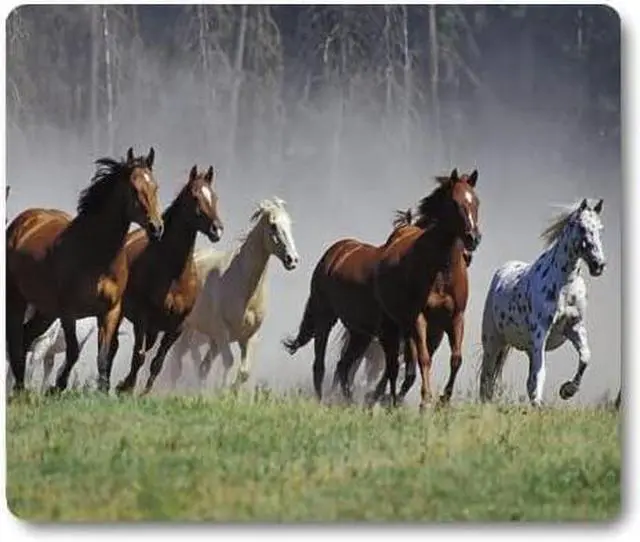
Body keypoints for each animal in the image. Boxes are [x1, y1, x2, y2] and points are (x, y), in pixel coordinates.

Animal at [6, 147, 164, 394]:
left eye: (155, 187)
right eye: (134, 189)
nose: (156, 228)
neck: (97, 256)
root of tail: (24, 221)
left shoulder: (110, 312)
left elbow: (103, 356)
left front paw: (101, 392)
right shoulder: (68, 312)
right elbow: (73, 352)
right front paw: (56, 388)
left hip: (46, 311)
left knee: (25, 338)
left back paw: (20, 389)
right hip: (16, 299)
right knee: (15, 341)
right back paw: (21, 388)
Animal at [109, 165, 224, 395]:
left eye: (214, 197)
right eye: (195, 197)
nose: (217, 229)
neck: (174, 276)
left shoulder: (176, 328)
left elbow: (157, 362)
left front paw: (143, 393)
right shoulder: (142, 319)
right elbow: (139, 357)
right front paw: (126, 388)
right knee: (114, 345)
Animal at [163, 197, 299, 392]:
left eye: (290, 223)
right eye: (273, 225)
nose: (292, 259)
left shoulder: (249, 337)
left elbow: (244, 372)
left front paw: (232, 392)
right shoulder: (222, 332)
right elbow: (229, 362)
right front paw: (222, 391)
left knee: (202, 367)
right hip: (187, 330)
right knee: (178, 364)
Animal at [478, 198, 606, 407]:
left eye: (600, 229)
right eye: (581, 227)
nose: (599, 265)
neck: (564, 286)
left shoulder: (574, 327)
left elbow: (585, 357)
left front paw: (567, 390)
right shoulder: (540, 333)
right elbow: (540, 372)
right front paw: (540, 402)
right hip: (493, 340)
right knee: (487, 376)